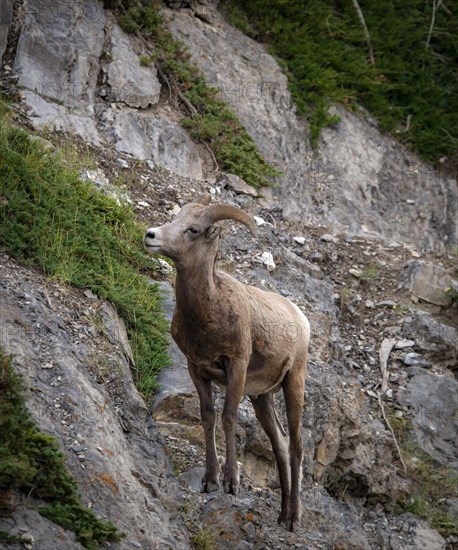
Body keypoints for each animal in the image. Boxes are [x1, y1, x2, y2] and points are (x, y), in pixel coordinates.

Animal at [145, 196, 310, 532]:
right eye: (175, 220)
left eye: (193, 229)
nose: (150, 235)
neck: (209, 311)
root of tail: (301, 319)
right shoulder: (196, 369)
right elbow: (208, 417)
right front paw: (210, 481)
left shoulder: (237, 367)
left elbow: (229, 417)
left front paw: (232, 483)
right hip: (262, 397)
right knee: (280, 445)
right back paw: (281, 515)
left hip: (293, 382)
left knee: (297, 448)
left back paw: (293, 520)